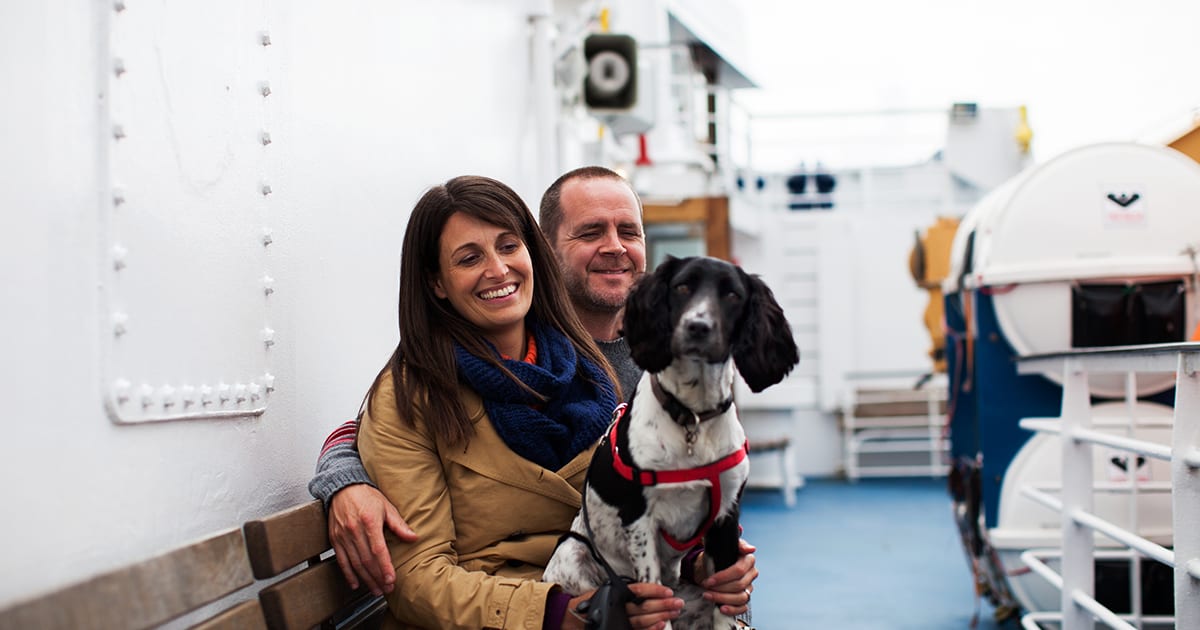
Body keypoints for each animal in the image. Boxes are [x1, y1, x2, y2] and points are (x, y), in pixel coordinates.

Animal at [544, 255, 796, 628]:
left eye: (733, 295)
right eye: (682, 287)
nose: (698, 327)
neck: (693, 416)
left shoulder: (726, 515)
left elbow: (725, 607)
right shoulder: (639, 522)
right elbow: (654, 602)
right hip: (574, 552)